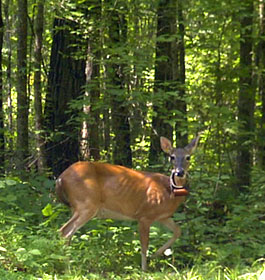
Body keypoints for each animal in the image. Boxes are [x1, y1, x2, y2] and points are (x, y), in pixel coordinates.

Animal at [56, 135, 200, 270]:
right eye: (172, 157)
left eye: (188, 157)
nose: (179, 172)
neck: (169, 191)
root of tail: (60, 178)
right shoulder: (145, 215)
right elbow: (144, 245)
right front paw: (144, 269)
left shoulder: (163, 216)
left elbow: (178, 231)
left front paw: (155, 254)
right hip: (86, 204)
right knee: (64, 232)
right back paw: (68, 268)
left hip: (77, 207)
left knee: (66, 233)